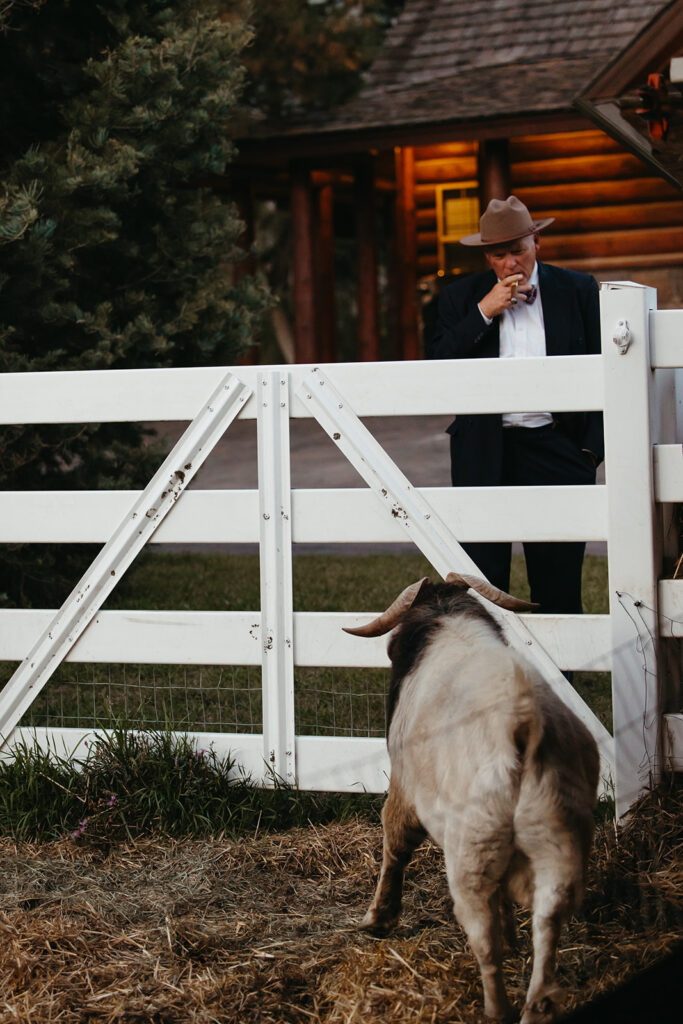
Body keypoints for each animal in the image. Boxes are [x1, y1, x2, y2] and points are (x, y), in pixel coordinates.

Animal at [344, 573, 602, 1019]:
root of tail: (522, 726)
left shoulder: (404, 791)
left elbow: (395, 846)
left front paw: (378, 919)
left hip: (471, 859)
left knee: (485, 943)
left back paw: (496, 1009)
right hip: (558, 848)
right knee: (547, 928)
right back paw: (534, 1004)